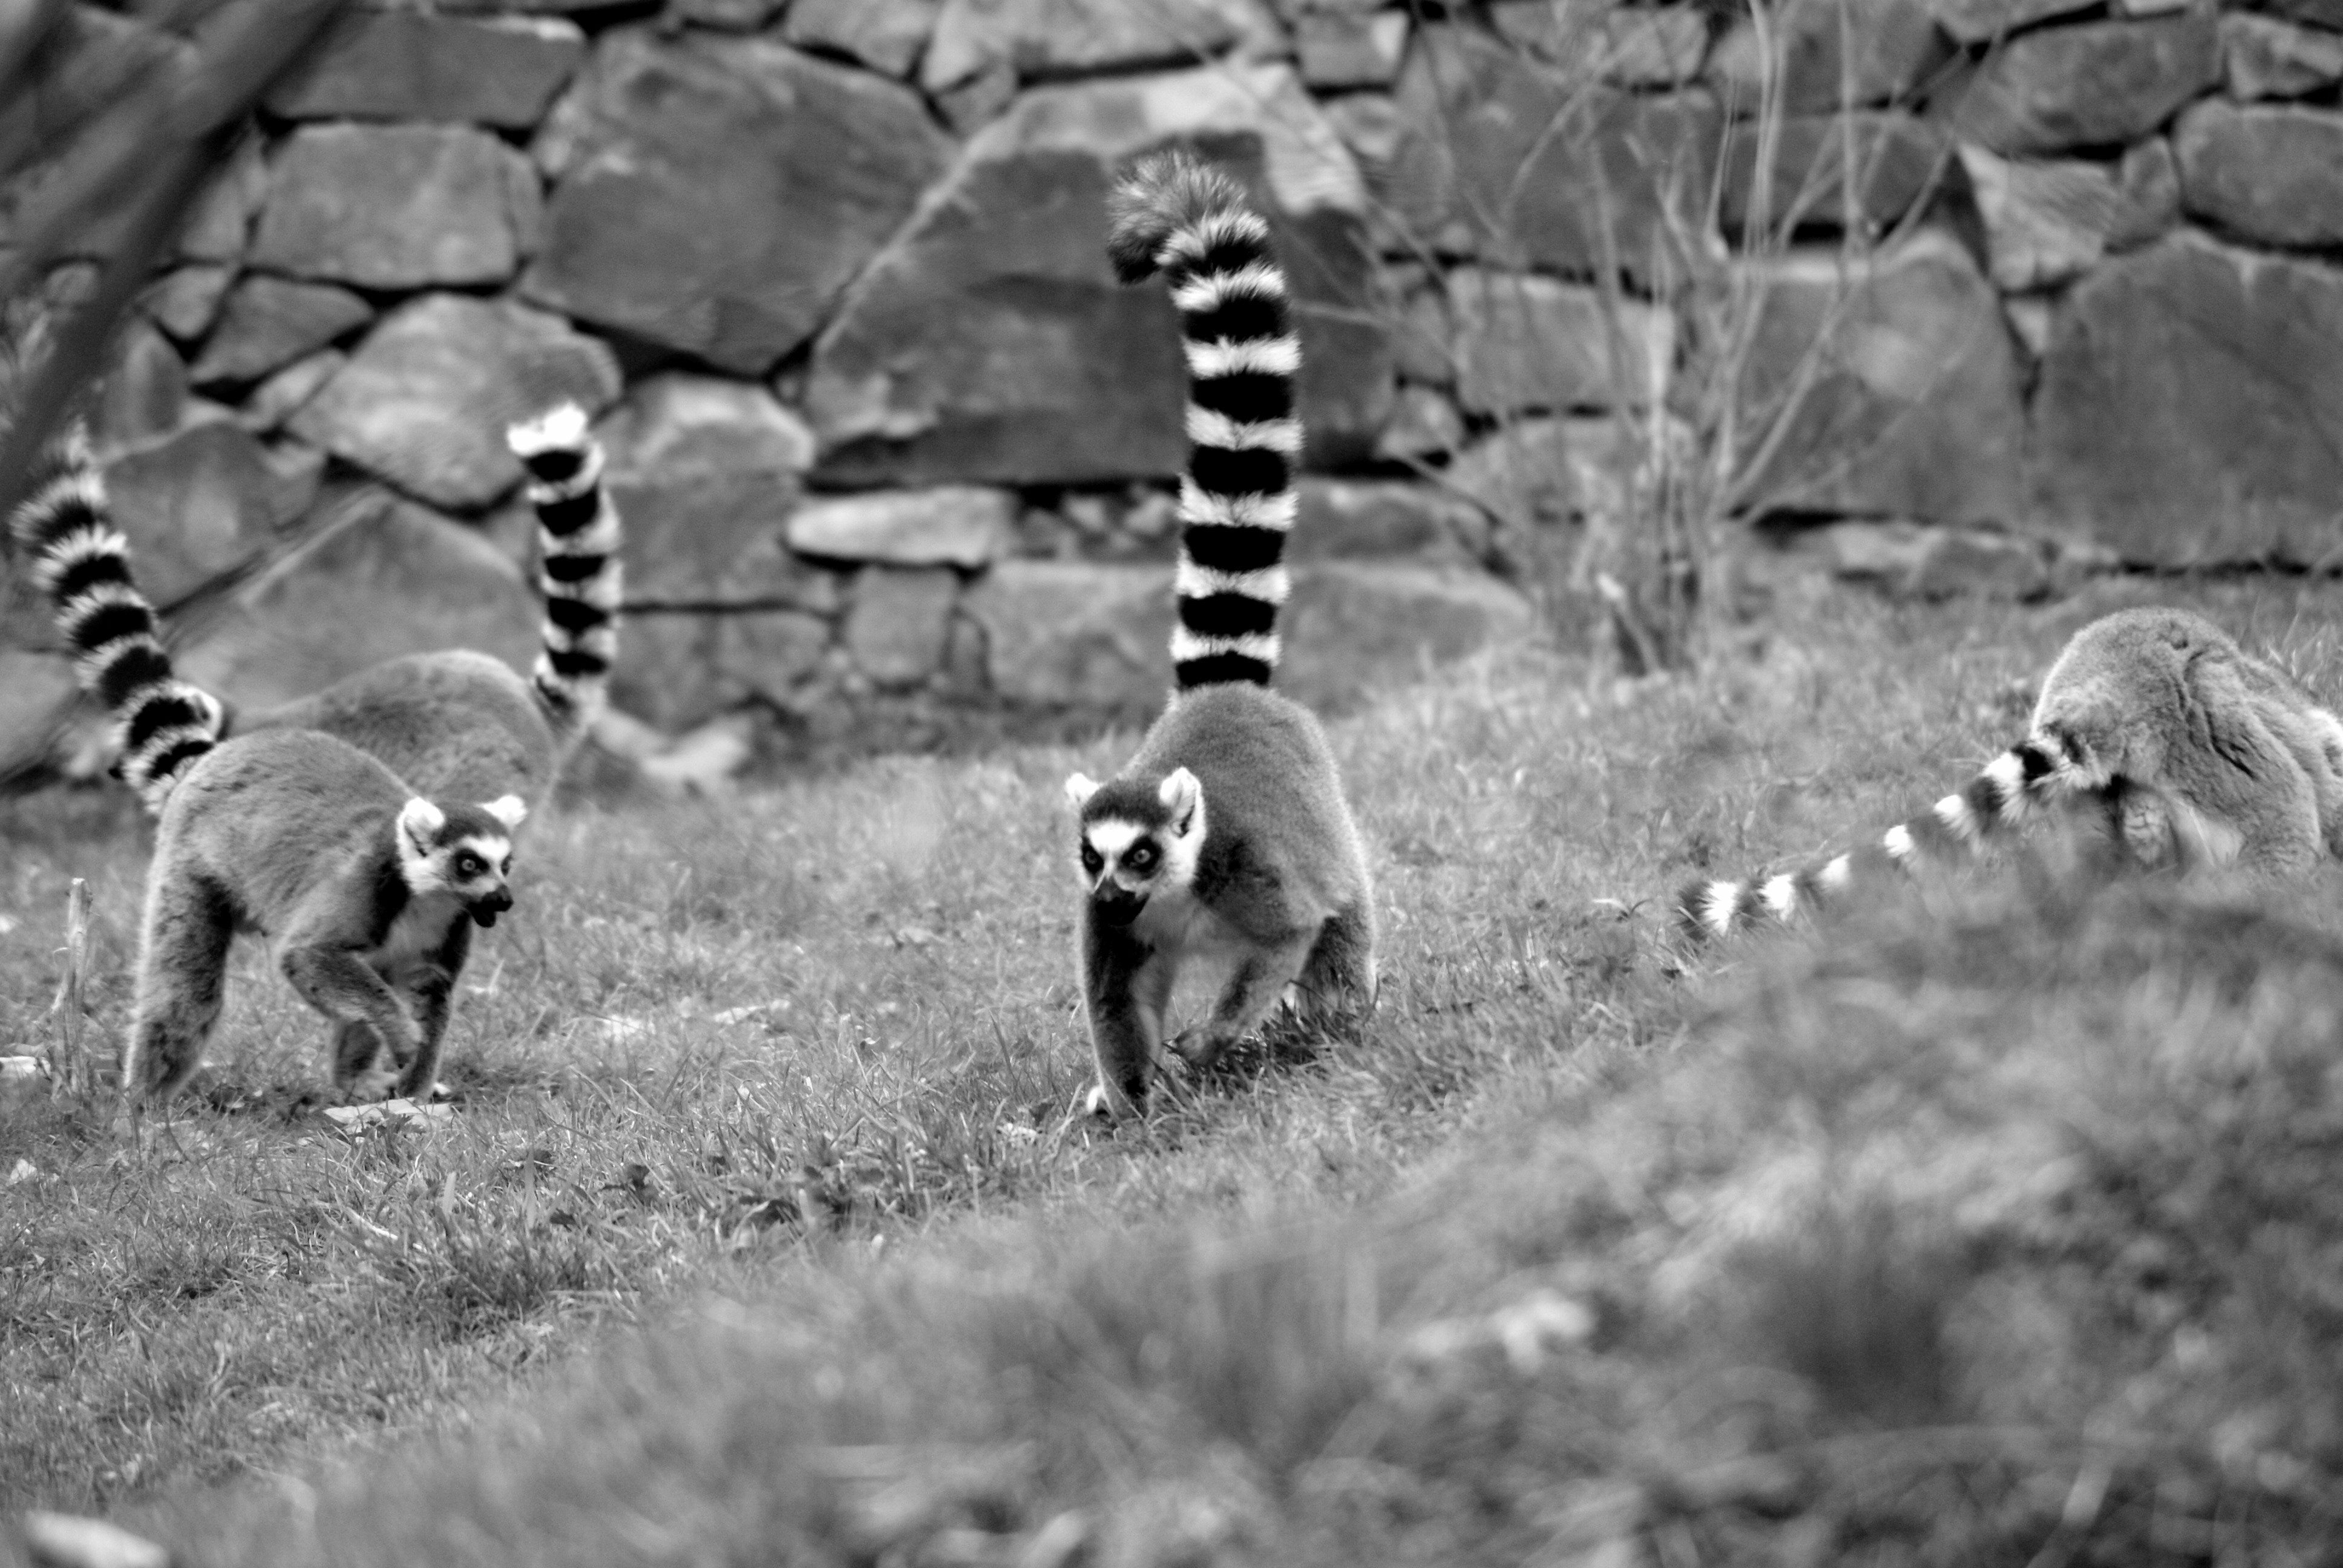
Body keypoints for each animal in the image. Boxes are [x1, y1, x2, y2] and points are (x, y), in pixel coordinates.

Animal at [1064, 150, 1377, 1121]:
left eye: (1142, 853)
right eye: (1091, 853)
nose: (1108, 890)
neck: (1170, 898)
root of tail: (1224, 691)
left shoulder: (1252, 870)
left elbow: (1291, 934)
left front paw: (1210, 1044)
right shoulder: (1112, 930)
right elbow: (1114, 1000)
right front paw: (1132, 1108)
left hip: (1324, 817)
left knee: (1342, 918)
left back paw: (1340, 1022)